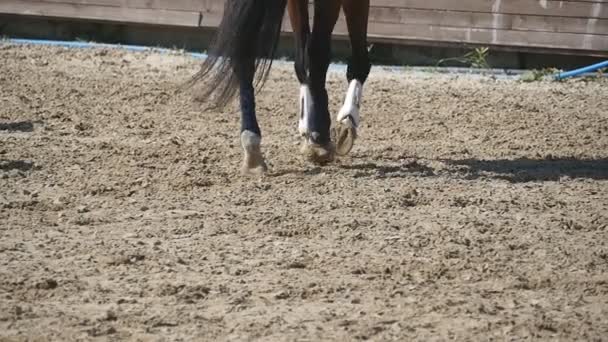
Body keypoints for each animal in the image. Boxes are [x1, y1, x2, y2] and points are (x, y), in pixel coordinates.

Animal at [189, 0, 370, 175]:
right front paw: (347, 119)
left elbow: (303, 59)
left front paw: (309, 127)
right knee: (316, 51)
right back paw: (320, 137)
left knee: (245, 54)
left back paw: (252, 147)